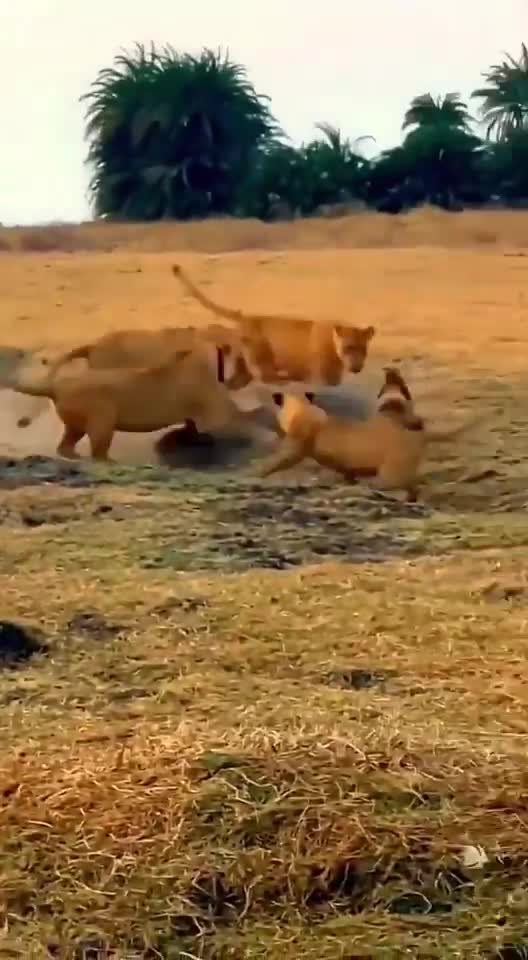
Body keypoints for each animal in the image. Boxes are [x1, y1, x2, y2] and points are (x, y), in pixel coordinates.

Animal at [0, 347, 267, 462]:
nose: (249, 376)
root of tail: (56, 388)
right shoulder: (215, 410)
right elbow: (243, 420)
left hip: (79, 423)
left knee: (66, 445)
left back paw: (75, 457)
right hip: (102, 418)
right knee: (98, 450)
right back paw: (109, 462)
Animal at [171, 263, 376, 385]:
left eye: (363, 349)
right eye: (349, 347)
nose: (356, 367)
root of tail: (247, 317)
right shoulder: (320, 377)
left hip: (241, 363)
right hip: (262, 359)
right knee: (266, 377)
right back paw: (282, 380)